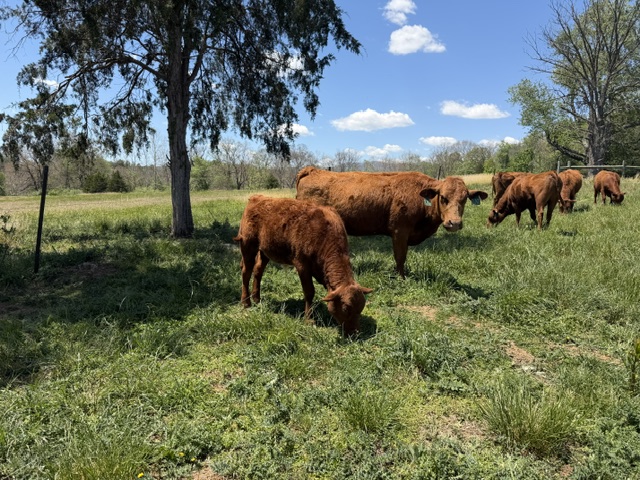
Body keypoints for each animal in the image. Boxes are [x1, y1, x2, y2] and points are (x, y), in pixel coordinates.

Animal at [233, 195, 373, 335]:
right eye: (346, 308)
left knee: (258, 270)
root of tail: (257, 197)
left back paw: (257, 298)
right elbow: (309, 291)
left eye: (361, 308)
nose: (355, 332)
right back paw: (246, 302)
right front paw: (309, 319)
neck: (323, 234)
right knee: (246, 272)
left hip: (265, 250)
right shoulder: (302, 265)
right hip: (248, 245)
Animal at [295, 166, 488, 278]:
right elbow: (400, 256)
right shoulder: (399, 231)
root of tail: (313, 170)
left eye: (464, 199)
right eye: (443, 198)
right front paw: (401, 278)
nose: (454, 223)